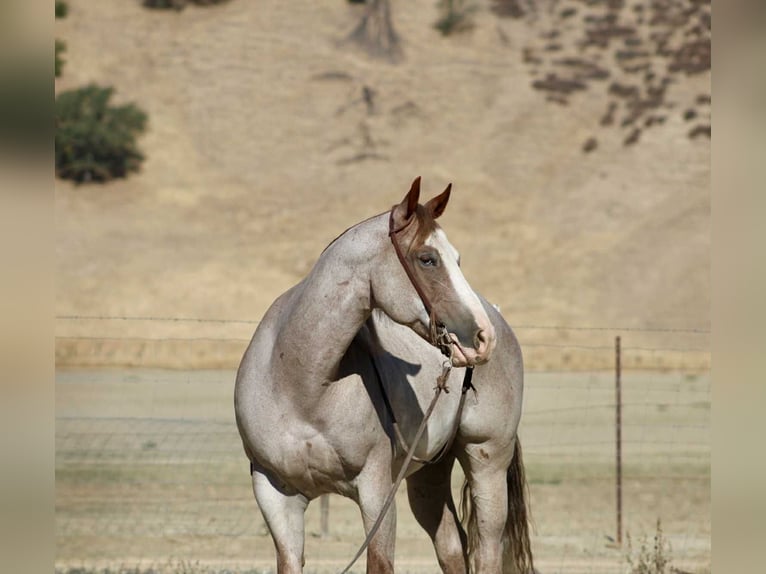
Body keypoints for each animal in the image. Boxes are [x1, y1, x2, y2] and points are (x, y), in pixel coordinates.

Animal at [234, 177, 533, 573]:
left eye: (457, 258)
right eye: (427, 258)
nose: (483, 338)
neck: (299, 385)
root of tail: (498, 314)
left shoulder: (376, 493)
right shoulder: (274, 494)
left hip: (486, 461)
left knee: (487, 550)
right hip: (429, 475)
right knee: (452, 546)